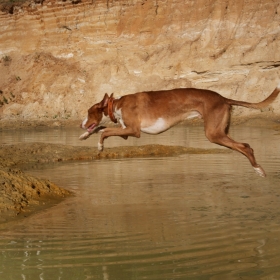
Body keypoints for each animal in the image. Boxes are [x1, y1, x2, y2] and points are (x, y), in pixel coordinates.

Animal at [79, 83, 280, 177]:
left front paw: (99, 146)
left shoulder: (133, 130)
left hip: (213, 134)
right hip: (221, 131)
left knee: (246, 147)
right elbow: (101, 127)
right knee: (244, 145)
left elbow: (104, 131)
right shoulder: (126, 131)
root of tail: (223, 98)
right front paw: (84, 135)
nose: (81, 124)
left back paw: (258, 170)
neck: (117, 104)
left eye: (88, 112)